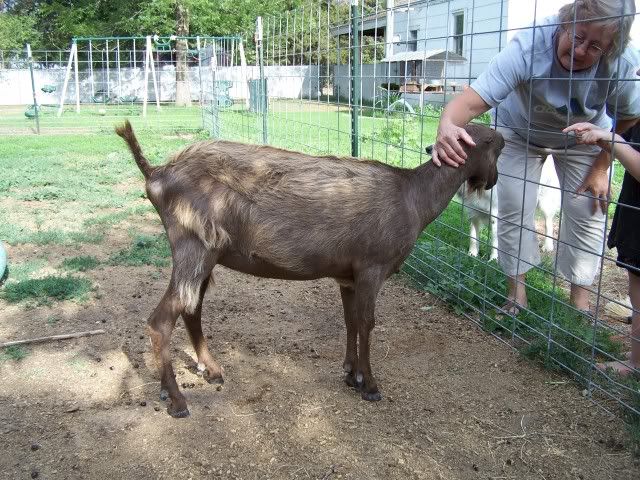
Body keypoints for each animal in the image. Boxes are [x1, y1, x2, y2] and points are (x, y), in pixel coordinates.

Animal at [116, 120, 505, 418]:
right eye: (499, 147)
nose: (494, 181)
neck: (412, 197)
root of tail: (156, 174)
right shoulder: (372, 268)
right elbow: (367, 322)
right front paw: (370, 385)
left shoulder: (348, 276)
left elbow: (351, 320)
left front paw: (352, 374)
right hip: (194, 246)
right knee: (161, 320)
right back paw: (178, 400)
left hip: (205, 254)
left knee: (191, 308)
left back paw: (209, 371)